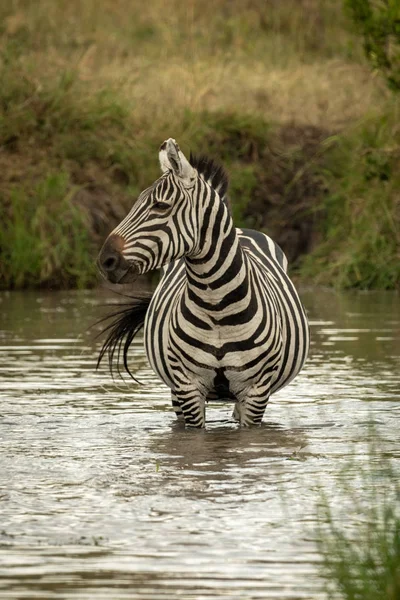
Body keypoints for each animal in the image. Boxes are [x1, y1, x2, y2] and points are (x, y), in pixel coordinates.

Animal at [97, 137, 310, 426]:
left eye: (160, 206)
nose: (105, 261)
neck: (216, 304)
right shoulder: (187, 387)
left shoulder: (255, 392)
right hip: (175, 392)